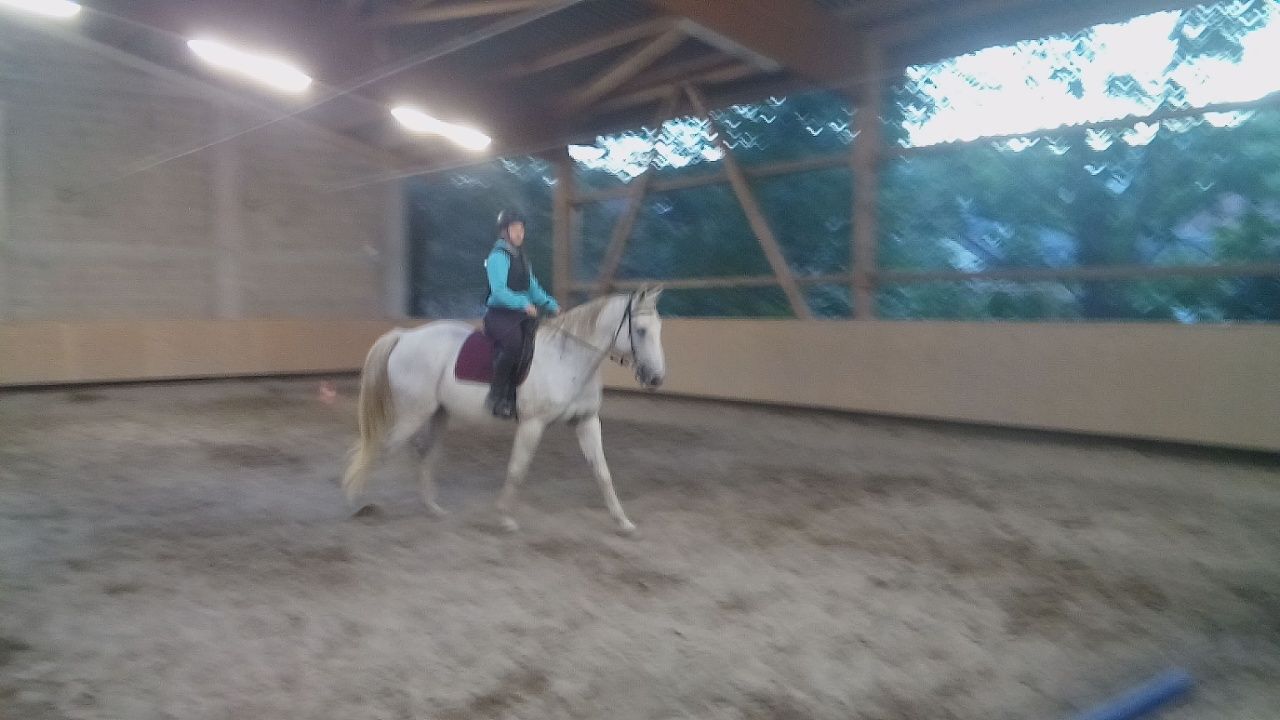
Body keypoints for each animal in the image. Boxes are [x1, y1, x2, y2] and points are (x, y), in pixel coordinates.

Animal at [341, 285, 667, 535]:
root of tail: (404, 336)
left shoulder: (586, 421)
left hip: (438, 414)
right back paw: (357, 504)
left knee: (423, 453)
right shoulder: (532, 424)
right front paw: (505, 518)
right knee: (379, 448)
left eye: (659, 329)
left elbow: (602, 472)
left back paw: (432, 508)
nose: (656, 378)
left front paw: (622, 521)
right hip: (412, 414)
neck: (567, 358)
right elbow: (517, 470)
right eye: (640, 331)